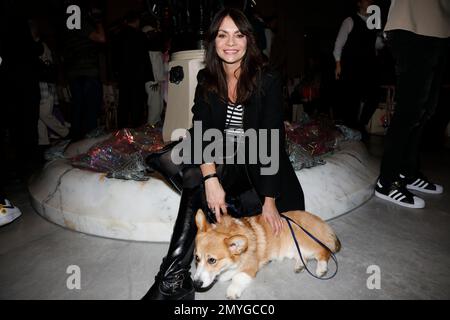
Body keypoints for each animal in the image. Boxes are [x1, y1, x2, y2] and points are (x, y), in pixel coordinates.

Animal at [193, 209, 342, 298]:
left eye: (212, 260)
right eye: (196, 258)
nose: (196, 284)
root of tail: (322, 223)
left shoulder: (250, 267)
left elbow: (238, 277)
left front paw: (233, 291)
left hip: (305, 242)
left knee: (324, 251)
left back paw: (321, 268)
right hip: (294, 248)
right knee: (303, 257)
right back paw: (300, 266)